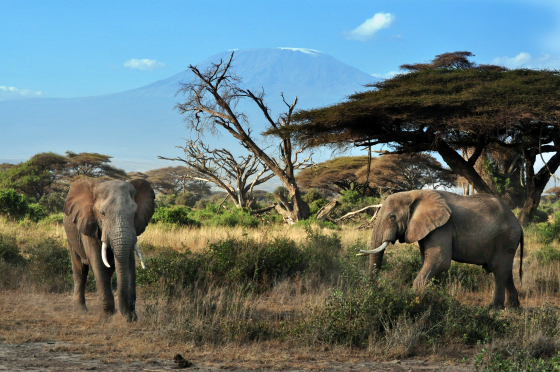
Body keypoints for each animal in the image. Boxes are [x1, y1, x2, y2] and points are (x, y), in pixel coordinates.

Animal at [63, 177, 154, 320]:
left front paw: (131, 318)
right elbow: (98, 263)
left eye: (135, 214)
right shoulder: (89, 224)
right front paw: (106, 318)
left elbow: (129, 263)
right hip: (71, 236)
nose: (128, 317)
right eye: (102, 213)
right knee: (80, 269)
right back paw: (80, 310)